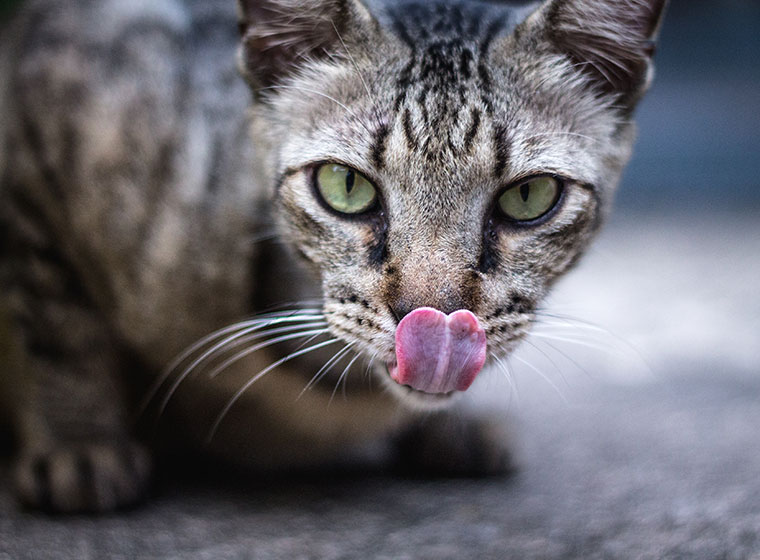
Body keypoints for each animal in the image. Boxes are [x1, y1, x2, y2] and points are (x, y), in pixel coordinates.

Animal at [0, 0, 664, 512]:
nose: (437, 320)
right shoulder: (40, 122)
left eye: (529, 197)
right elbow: (57, 324)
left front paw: (449, 429)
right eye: (345, 187)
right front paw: (80, 444)